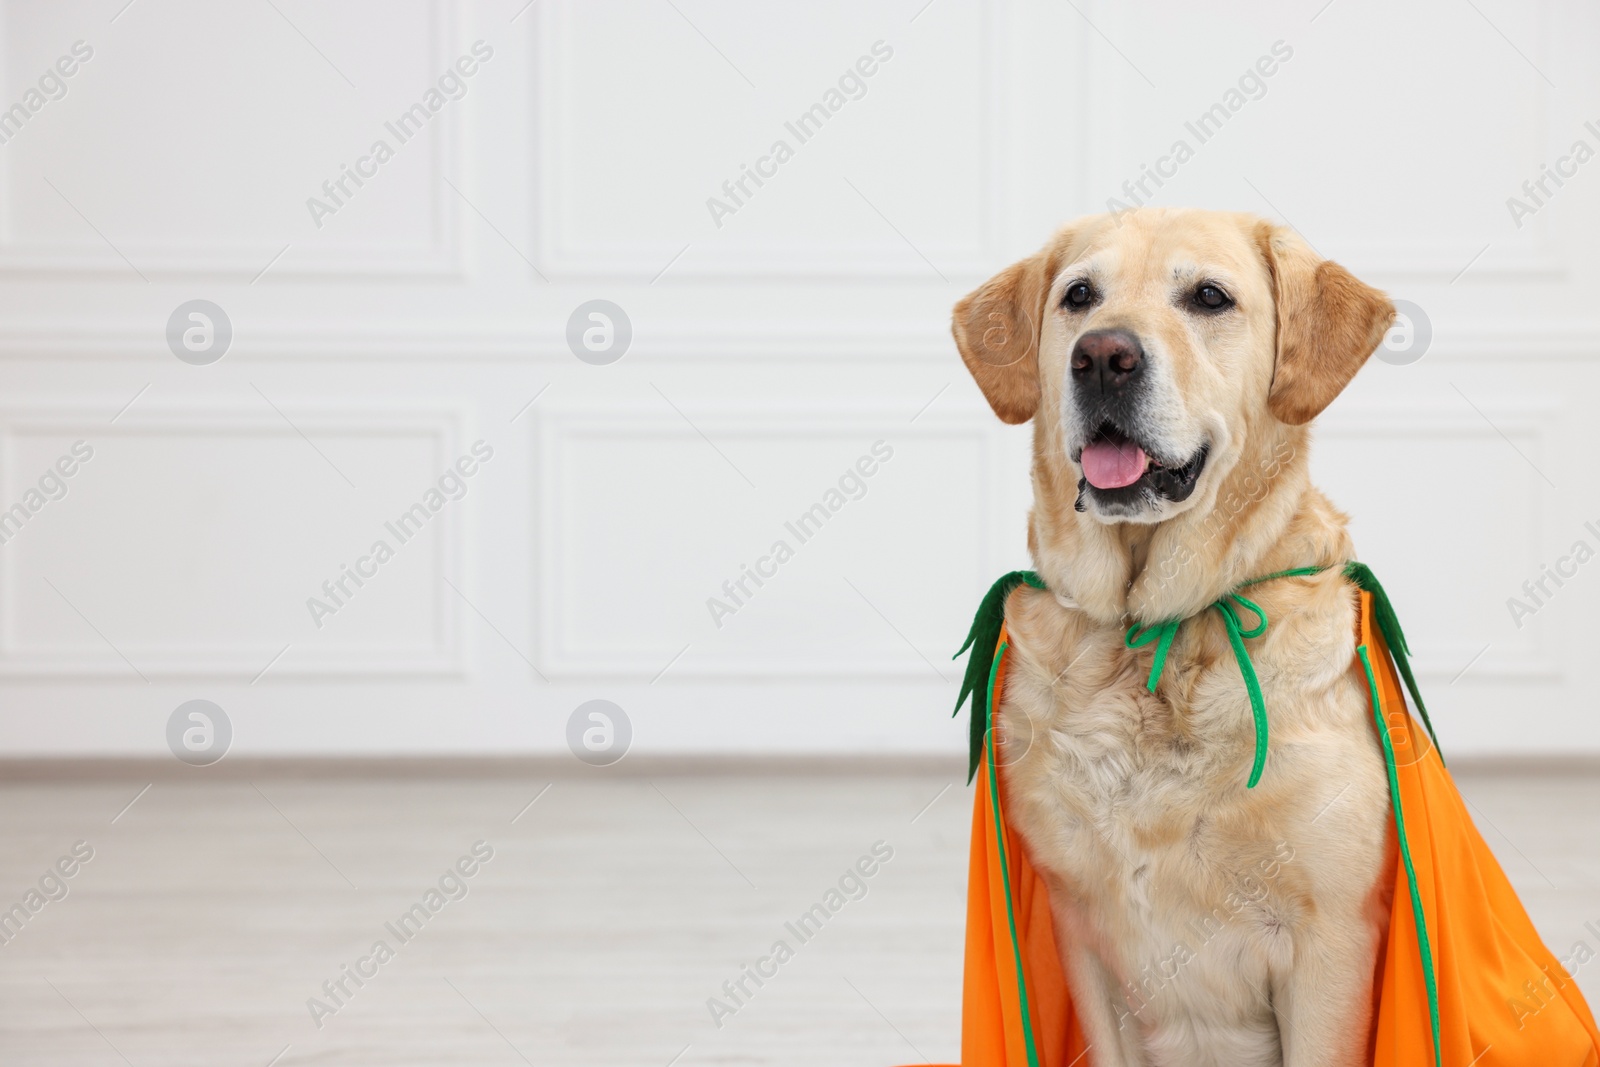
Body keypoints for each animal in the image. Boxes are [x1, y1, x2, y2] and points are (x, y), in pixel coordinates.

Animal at [953, 207, 1395, 1067]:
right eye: (1079, 295)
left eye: (1209, 297)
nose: (1103, 356)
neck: (1151, 634)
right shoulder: (1081, 930)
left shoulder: (1331, 942)